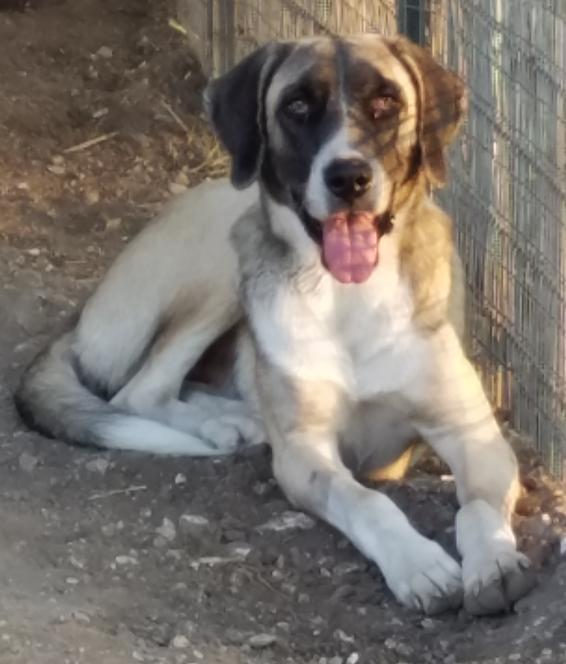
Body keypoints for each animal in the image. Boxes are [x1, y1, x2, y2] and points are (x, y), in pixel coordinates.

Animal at [13, 35, 536, 616]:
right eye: (298, 106)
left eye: (386, 103)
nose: (348, 178)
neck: (349, 295)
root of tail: (83, 315)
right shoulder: (306, 453)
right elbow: (366, 501)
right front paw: (418, 564)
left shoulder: (473, 434)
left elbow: (477, 510)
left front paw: (494, 562)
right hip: (226, 254)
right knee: (138, 390)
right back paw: (228, 424)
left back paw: (235, 417)